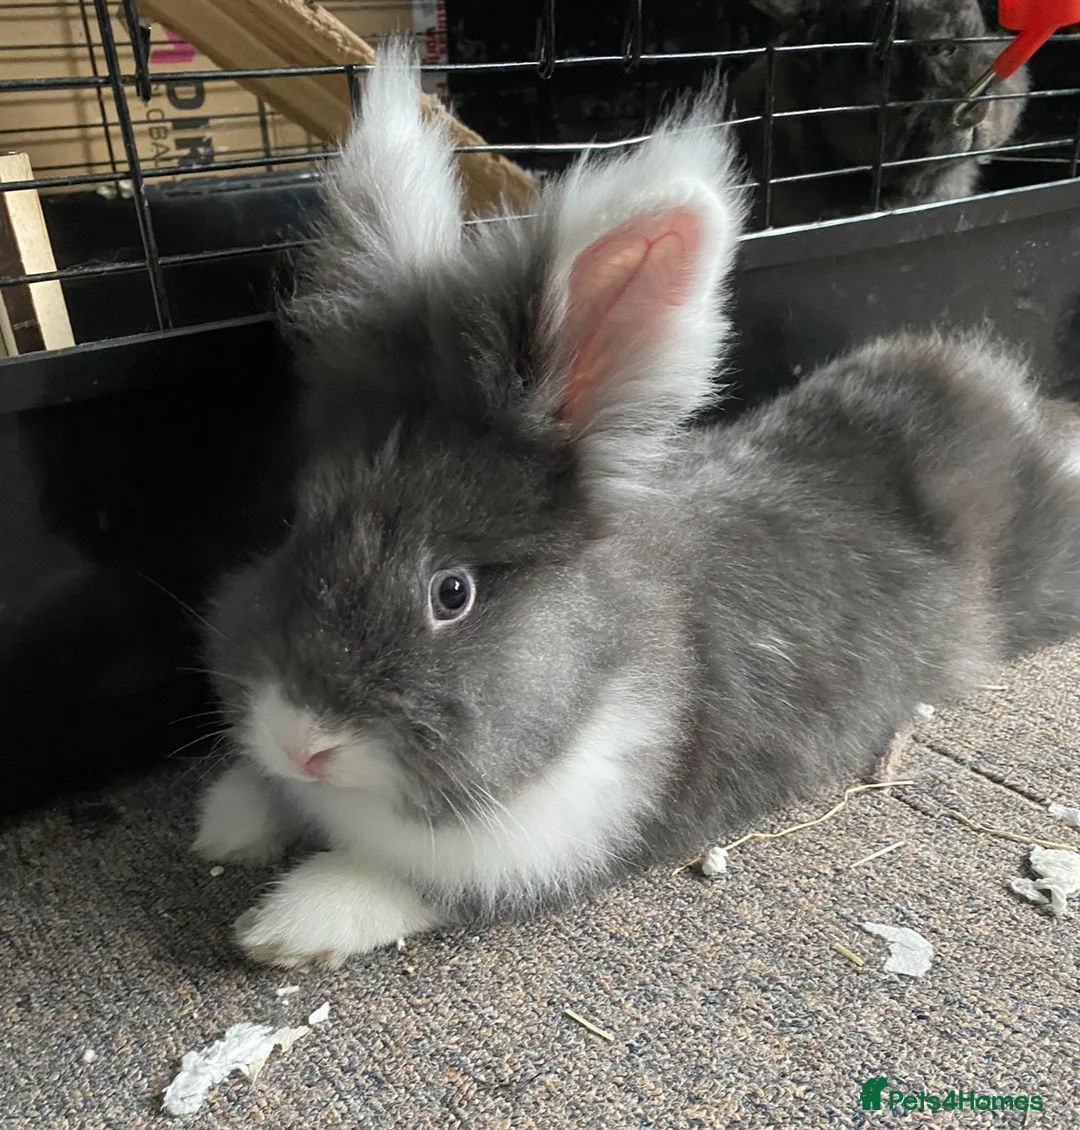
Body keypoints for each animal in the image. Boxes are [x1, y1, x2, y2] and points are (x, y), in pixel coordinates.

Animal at [192, 43, 1080, 969]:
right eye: (294, 528)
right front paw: (232, 818)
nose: (301, 742)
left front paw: (290, 922)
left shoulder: (541, 846)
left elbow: (409, 884)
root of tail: (982, 391)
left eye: (451, 592)